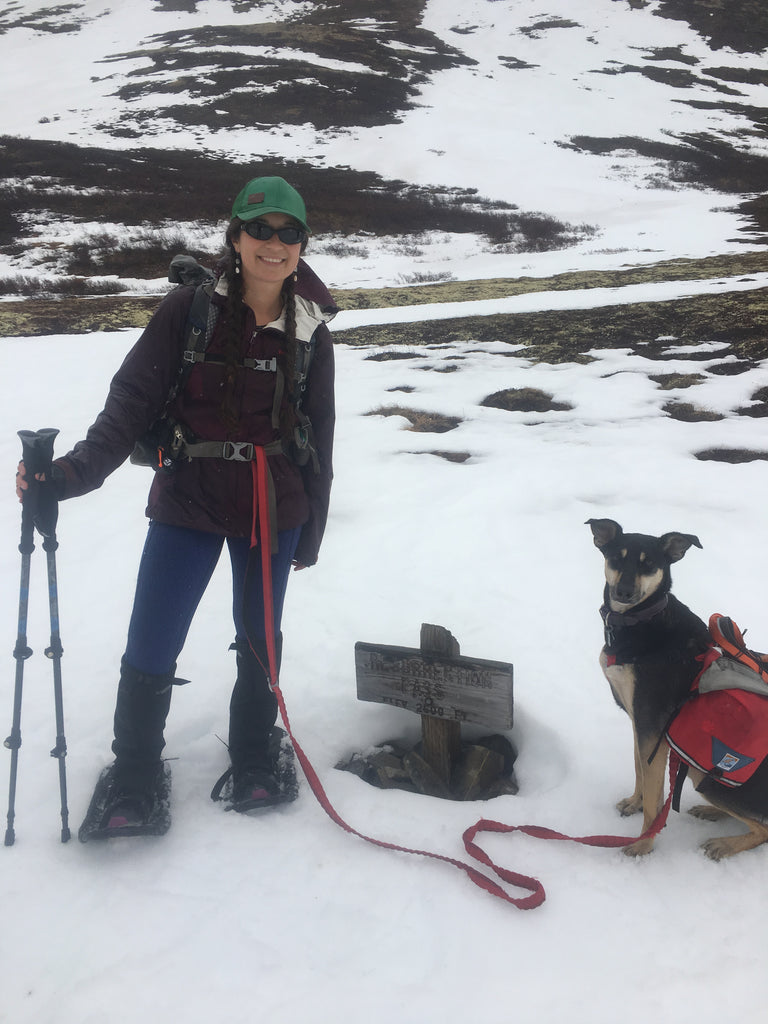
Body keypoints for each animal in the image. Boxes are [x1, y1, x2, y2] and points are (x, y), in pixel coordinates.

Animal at [589, 516, 768, 860]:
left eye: (649, 564)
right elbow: (640, 771)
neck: (641, 621)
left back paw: (723, 844)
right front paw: (634, 803)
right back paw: (711, 813)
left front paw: (643, 844)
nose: (624, 591)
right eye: (617, 558)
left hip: (705, 775)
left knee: (763, 828)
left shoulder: (651, 723)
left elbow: (653, 795)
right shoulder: (641, 722)